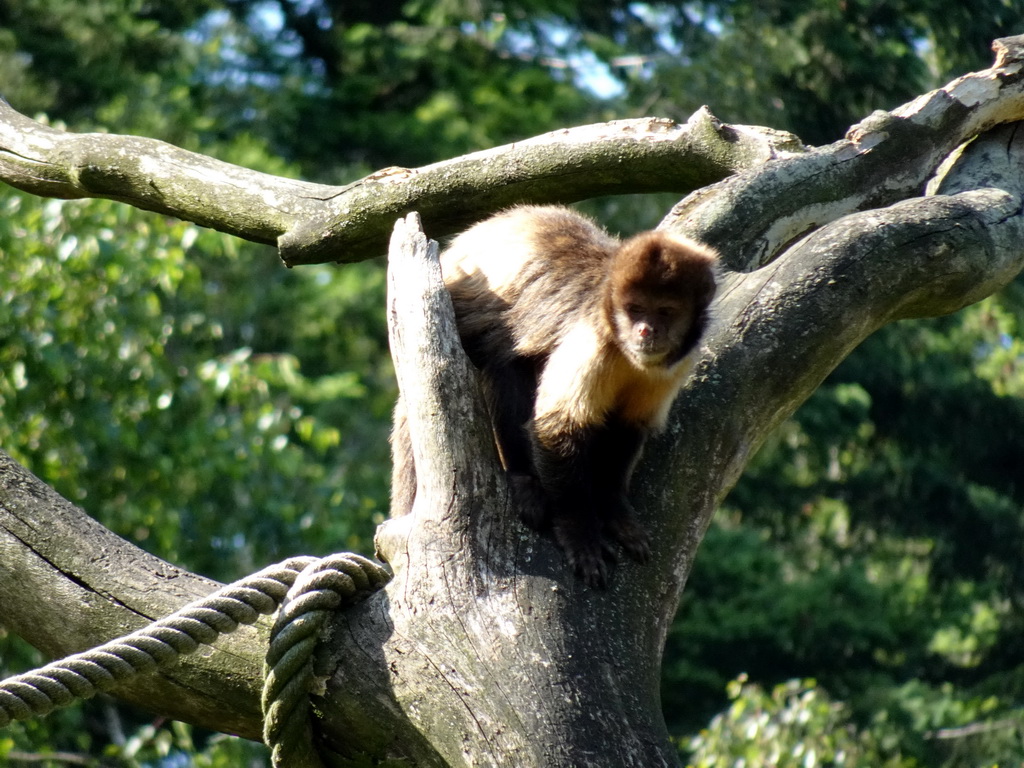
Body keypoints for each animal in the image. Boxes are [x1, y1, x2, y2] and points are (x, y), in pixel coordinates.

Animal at [387, 204, 716, 589]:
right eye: (635, 309)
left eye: (665, 312)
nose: (646, 330)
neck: (624, 352)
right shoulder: (591, 337)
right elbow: (556, 427)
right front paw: (579, 532)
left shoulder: (675, 364)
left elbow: (628, 426)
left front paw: (612, 508)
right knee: (503, 361)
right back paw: (523, 480)